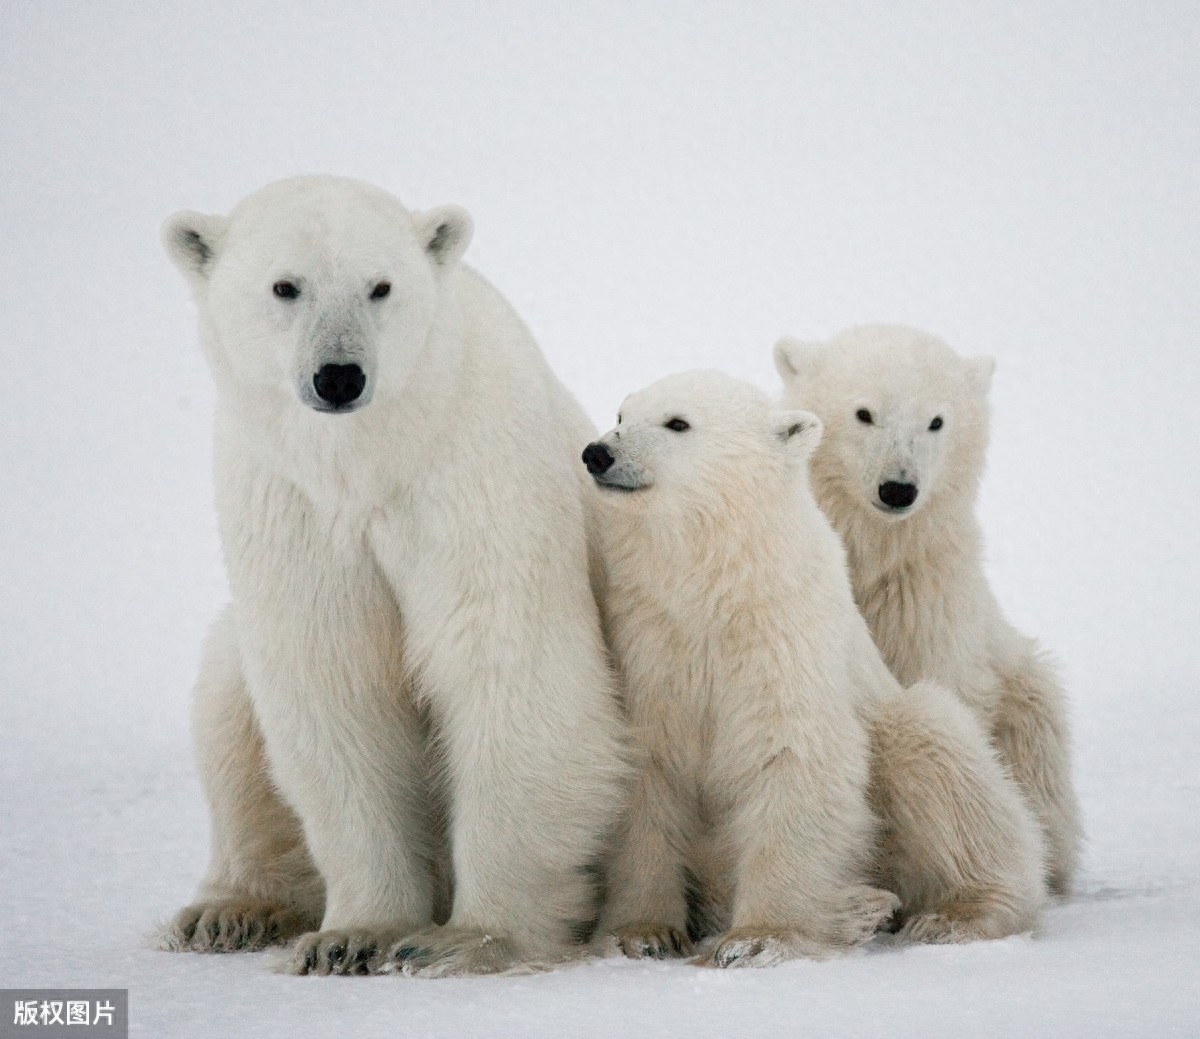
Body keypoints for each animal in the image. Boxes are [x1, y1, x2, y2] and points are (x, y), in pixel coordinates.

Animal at [158, 173, 628, 974]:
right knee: (226, 701)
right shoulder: (291, 503)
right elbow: (336, 687)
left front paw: (468, 939)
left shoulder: (471, 476)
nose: (339, 375)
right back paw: (228, 911)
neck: (373, 459)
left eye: (380, 286)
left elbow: (507, 665)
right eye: (286, 285)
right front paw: (352, 935)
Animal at [585, 369, 1046, 964]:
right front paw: (640, 933)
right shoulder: (650, 641)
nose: (598, 453)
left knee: (938, 755)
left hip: (899, 727)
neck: (718, 588)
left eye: (677, 423)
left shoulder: (785, 637)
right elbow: (646, 774)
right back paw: (861, 908)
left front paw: (757, 938)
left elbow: (793, 753)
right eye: (621, 415)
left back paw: (949, 914)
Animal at [772, 323, 1084, 892]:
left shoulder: (924, 599)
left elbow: (938, 689)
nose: (898, 489)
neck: (872, 556)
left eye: (936, 421)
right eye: (863, 412)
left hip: (1023, 698)